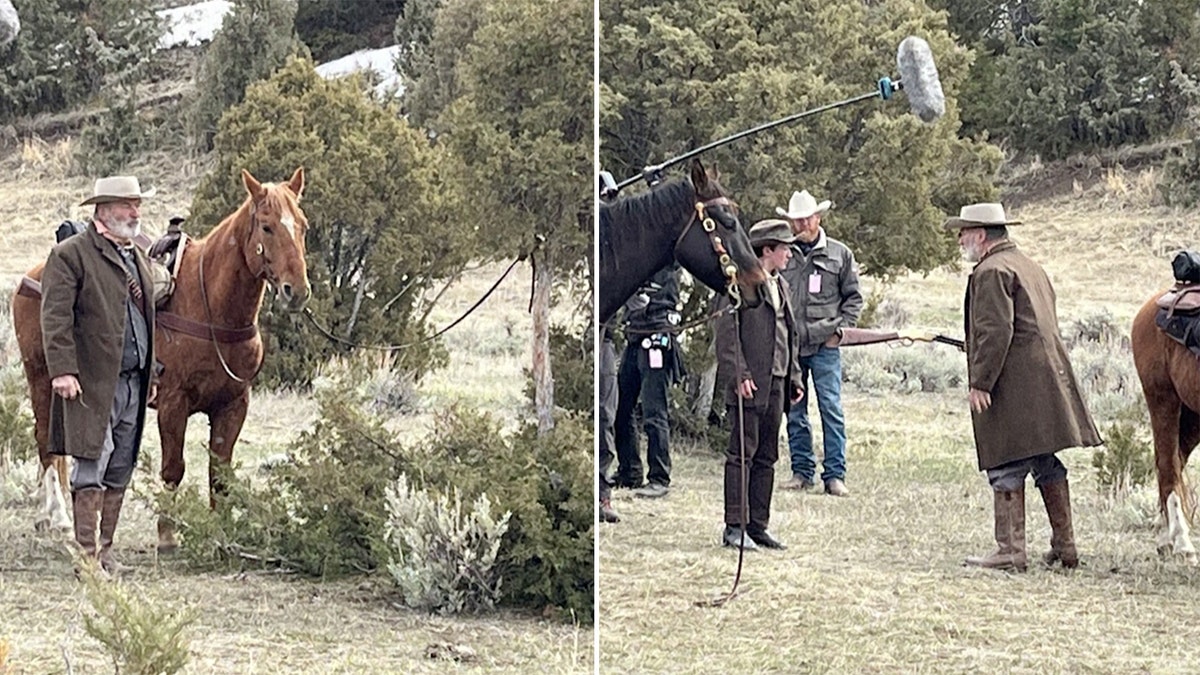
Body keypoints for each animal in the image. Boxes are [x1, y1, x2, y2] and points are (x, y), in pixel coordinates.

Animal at [12, 166, 312, 547]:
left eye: (303, 225)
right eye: (267, 226)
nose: (296, 291)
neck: (211, 309)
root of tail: (35, 275)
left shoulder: (233, 404)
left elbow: (220, 472)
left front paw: (222, 534)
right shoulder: (173, 403)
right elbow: (174, 467)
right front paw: (167, 536)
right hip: (40, 378)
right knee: (45, 443)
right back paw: (58, 517)